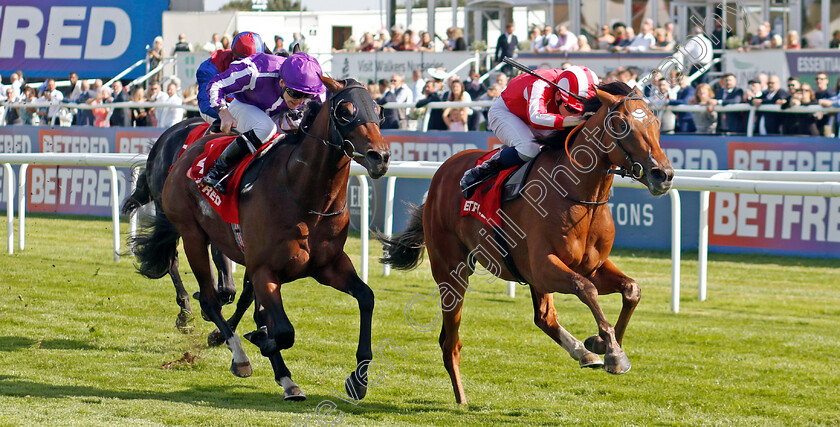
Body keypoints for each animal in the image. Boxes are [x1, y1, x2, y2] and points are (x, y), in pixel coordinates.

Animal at [380, 82, 676, 406]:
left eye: (656, 124)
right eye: (622, 125)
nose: (664, 174)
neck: (577, 195)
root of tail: (442, 172)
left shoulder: (590, 266)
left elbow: (631, 289)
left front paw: (603, 344)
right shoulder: (544, 266)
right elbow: (586, 289)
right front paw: (612, 351)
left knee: (544, 317)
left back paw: (582, 352)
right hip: (451, 272)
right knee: (450, 342)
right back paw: (461, 398)